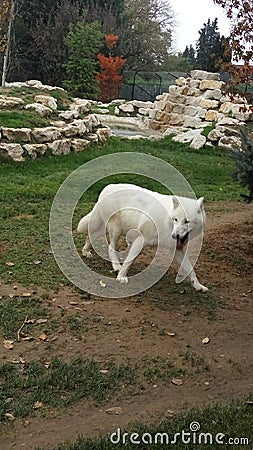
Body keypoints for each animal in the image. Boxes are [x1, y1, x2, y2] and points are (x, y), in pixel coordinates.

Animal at [77, 183, 208, 292]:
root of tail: (107, 187)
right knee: (110, 246)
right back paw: (116, 266)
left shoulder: (175, 249)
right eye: (175, 219)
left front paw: (198, 285)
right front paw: (121, 277)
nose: (174, 235)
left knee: (91, 235)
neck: (167, 220)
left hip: (110, 228)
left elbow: (190, 269)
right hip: (116, 230)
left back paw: (86, 251)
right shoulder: (141, 240)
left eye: (187, 221)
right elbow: (130, 260)